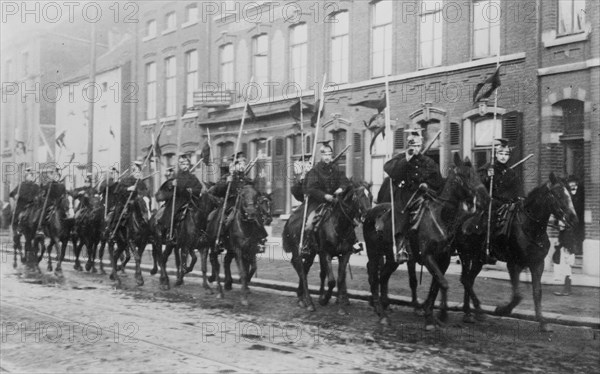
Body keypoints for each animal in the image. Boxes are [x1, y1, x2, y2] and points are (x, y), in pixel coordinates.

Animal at [282, 180, 376, 314]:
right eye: (359, 196)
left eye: (371, 196)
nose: (368, 214)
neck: (339, 225)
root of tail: (290, 218)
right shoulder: (325, 253)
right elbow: (331, 281)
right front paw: (324, 299)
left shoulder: (345, 254)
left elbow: (340, 279)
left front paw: (341, 306)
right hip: (297, 251)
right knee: (302, 271)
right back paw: (309, 302)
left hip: (310, 254)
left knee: (304, 269)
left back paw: (301, 297)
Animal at [360, 153, 482, 328]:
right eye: (463, 176)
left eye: (475, 174)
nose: (477, 201)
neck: (440, 217)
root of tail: (370, 212)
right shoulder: (427, 256)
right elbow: (443, 283)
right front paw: (439, 314)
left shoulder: (443, 260)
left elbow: (436, 285)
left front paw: (430, 315)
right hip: (374, 253)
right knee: (374, 276)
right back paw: (380, 312)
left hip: (391, 258)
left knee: (383, 277)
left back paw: (383, 309)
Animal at [490, 172, 580, 330]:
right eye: (558, 194)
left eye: (570, 192)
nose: (574, 219)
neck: (530, 226)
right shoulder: (514, 264)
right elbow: (518, 295)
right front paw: (502, 310)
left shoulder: (537, 264)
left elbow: (537, 292)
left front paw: (542, 322)